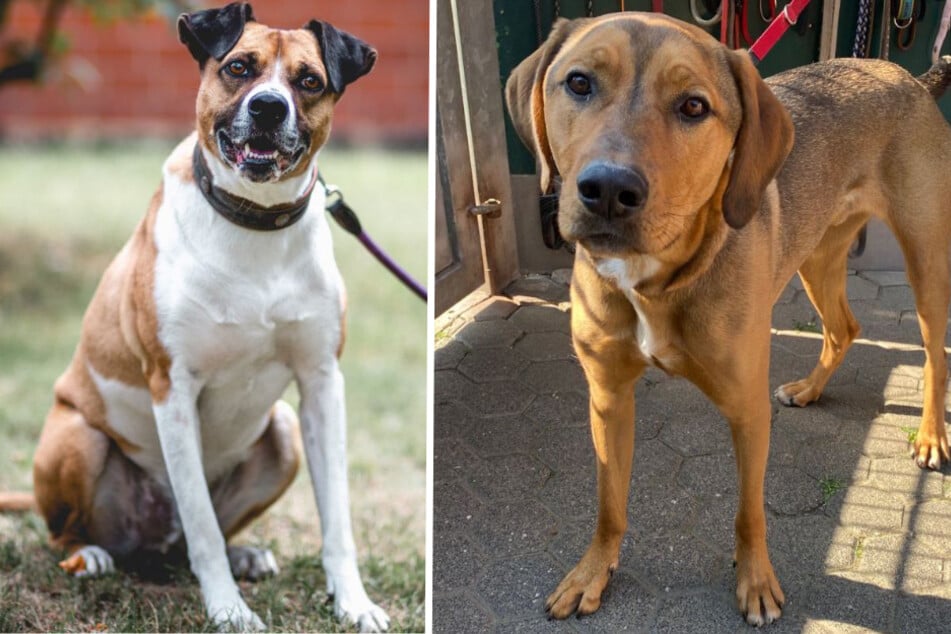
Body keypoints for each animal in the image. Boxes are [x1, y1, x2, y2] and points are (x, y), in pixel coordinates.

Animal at [0, 2, 386, 628]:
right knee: (82, 532)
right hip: (79, 438)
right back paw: (91, 554)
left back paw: (244, 553)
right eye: (238, 67)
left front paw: (353, 602)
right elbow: (202, 525)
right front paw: (228, 610)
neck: (254, 224)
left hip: (283, 431)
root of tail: (152, 540)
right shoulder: (173, 388)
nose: (268, 106)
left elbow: (337, 520)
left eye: (308, 81)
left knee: (205, 533)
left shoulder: (322, 384)